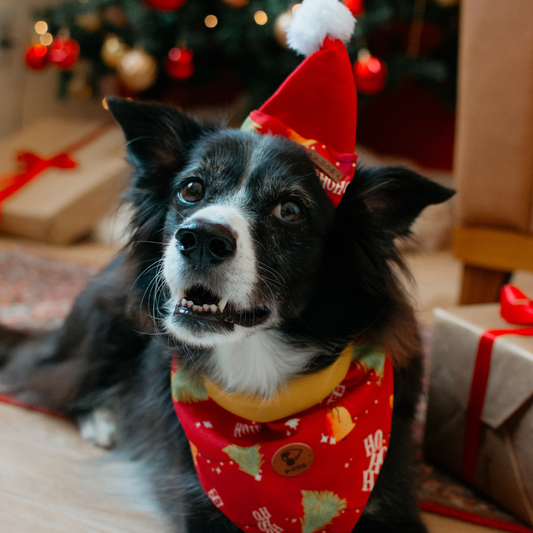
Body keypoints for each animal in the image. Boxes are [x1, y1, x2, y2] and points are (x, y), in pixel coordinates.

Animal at [0, 96, 454, 532]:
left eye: (290, 210)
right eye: (191, 189)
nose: (200, 238)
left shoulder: (392, 502)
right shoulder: (202, 503)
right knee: (45, 374)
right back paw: (104, 418)